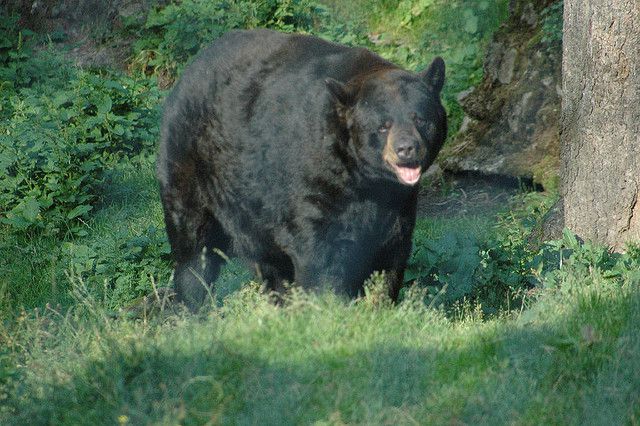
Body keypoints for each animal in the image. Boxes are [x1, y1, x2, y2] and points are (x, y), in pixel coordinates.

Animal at [156, 30, 444, 310]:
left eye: (420, 118)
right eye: (383, 125)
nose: (407, 149)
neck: (363, 179)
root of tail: (186, 73)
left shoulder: (398, 203)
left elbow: (390, 253)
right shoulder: (312, 183)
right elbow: (320, 255)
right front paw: (326, 308)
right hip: (191, 168)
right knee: (194, 251)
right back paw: (193, 306)